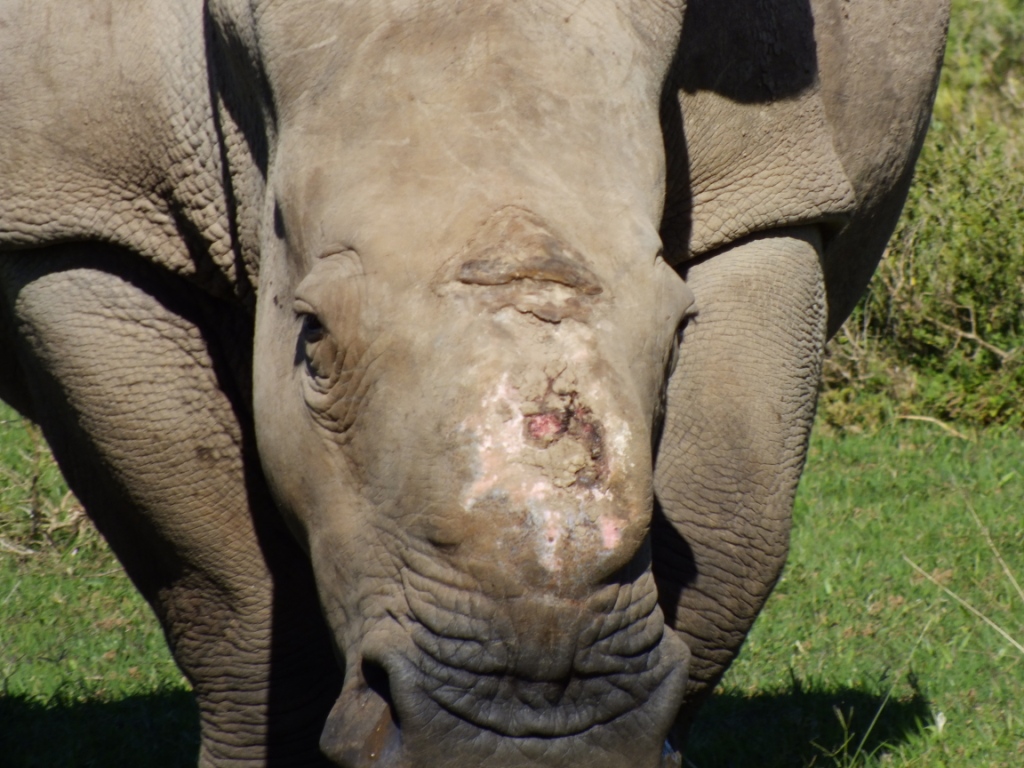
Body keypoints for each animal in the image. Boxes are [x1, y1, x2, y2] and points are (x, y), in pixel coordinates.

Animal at [0, 0, 946, 765]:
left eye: (680, 330)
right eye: (311, 339)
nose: (528, 734)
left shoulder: (766, 195)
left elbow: (732, 530)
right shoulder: (82, 216)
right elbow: (228, 592)